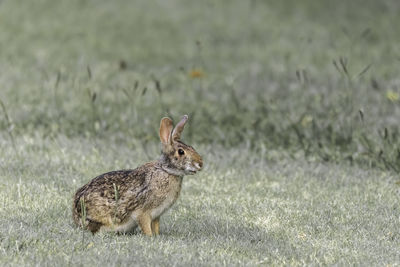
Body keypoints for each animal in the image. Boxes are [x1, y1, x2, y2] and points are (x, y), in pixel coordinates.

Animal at [71, 115, 203, 237]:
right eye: (181, 152)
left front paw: (157, 235)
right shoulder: (142, 212)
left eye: (192, 147)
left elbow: (155, 226)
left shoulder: (156, 215)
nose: (200, 164)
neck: (166, 170)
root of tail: (76, 215)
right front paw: (150, 237)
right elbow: (145, 226)